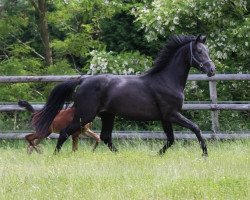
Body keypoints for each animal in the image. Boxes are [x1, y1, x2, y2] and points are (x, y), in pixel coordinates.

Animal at [34, 34, 215, 156]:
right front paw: (205, 154)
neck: (166, 80)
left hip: (107, 115)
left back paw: (120, 155)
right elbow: (195, 128)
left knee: (105, 137)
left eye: (207, 50)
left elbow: (171, 139)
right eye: (199, 51)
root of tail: (83, 80)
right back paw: (55, 156)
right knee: (65, 132)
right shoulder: (172, 114)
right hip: (85, 115)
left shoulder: (165, 117)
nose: (212, 70)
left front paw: (156, 156)